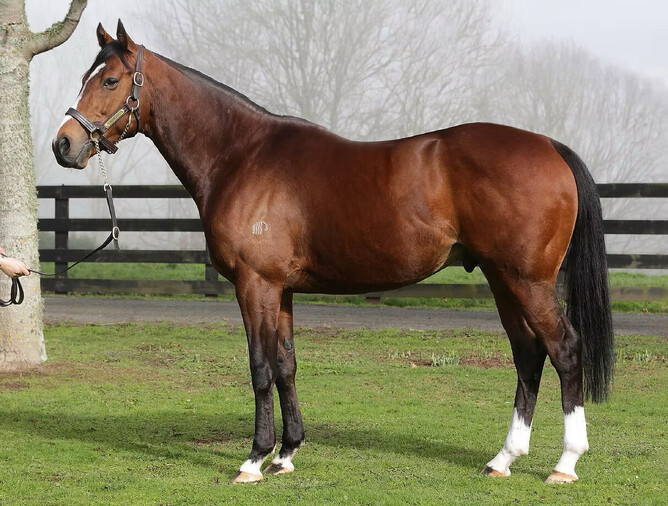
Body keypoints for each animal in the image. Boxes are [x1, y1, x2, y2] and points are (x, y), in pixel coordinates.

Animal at [52, 21, 614, 484]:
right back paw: (503, 459)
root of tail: (549, 146)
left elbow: (260, 367)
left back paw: (565, 464)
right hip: (502, 280)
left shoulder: (255, 285)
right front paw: (286, 454)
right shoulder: (280, 289)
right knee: (528, 354)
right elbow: (286, 365)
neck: (241, 155)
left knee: (564, 350)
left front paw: (253, 460)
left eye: (109, 81)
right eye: (85, 75)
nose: (64, 145)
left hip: (528, 280)